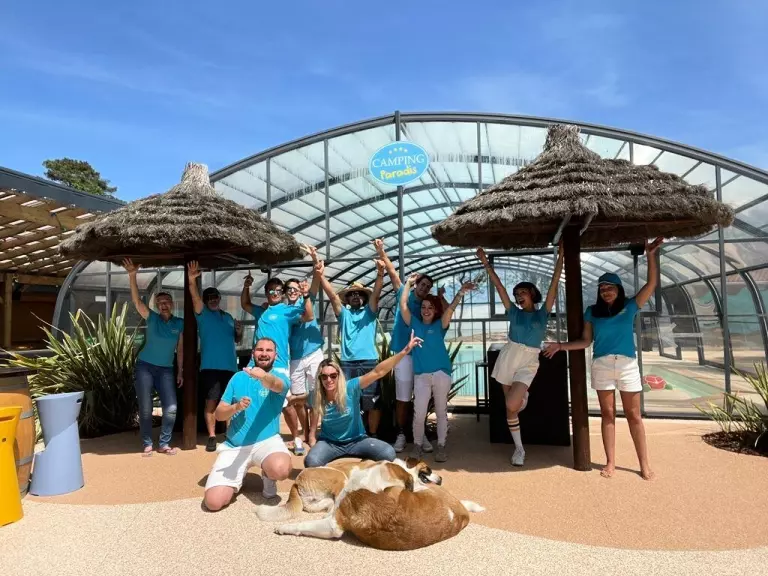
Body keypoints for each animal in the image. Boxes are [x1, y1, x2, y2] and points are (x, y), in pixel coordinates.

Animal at [256, 457, 441, 522]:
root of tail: (296, 482)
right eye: (429, 469)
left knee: (323, 506)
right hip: (340, 477)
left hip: (319, 500)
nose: (441, 479)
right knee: (336, 503)